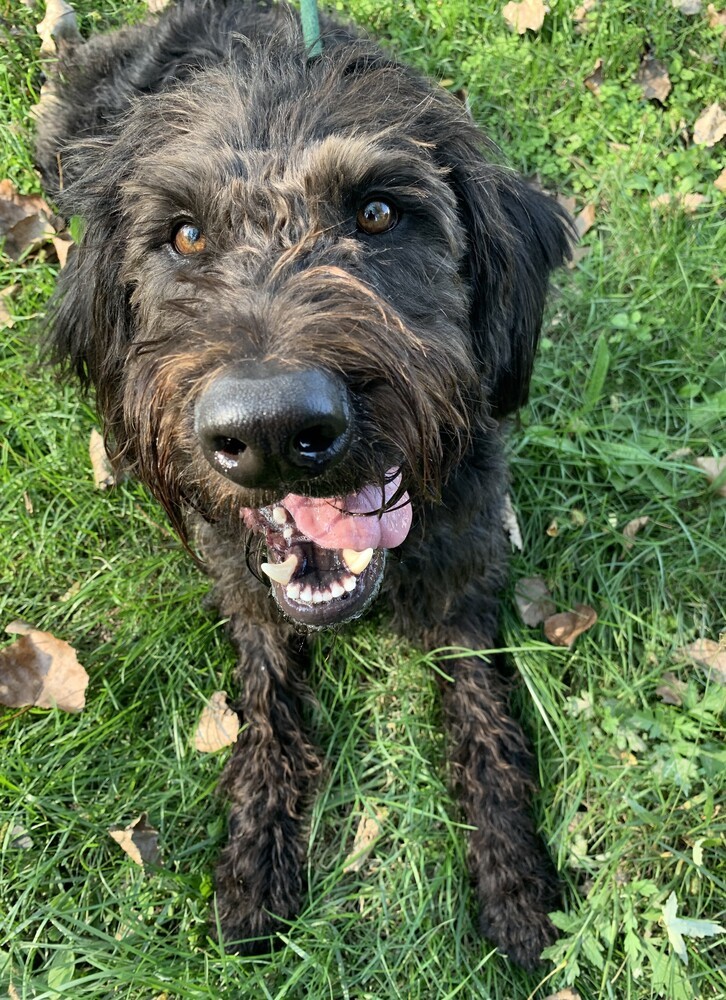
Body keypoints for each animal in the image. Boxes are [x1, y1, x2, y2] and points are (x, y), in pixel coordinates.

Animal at [35, 0, 576, 968]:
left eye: (378, 212)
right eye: (185, 235)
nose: (272, 431)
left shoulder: (465, 577)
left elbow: (486, 720)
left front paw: (514, 878)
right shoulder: (251, 592)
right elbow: (267, 701)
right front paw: (256, 851)